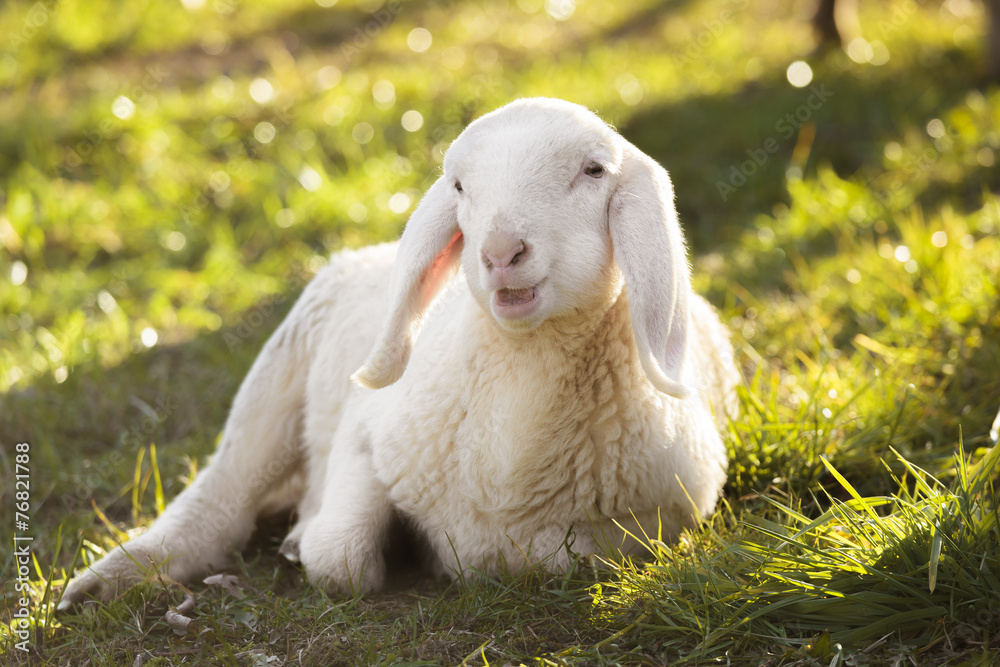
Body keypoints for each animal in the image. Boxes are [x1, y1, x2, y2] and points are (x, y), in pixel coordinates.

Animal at [58, 97, 739, 608]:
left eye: (594, 171)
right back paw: (112, 578)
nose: (500, 253)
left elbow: (550, 556)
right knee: (221, 497)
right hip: (276, 376)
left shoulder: (660, 520)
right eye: (460, 186)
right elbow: (340, 561)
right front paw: (333, 544)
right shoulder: (366, 434)